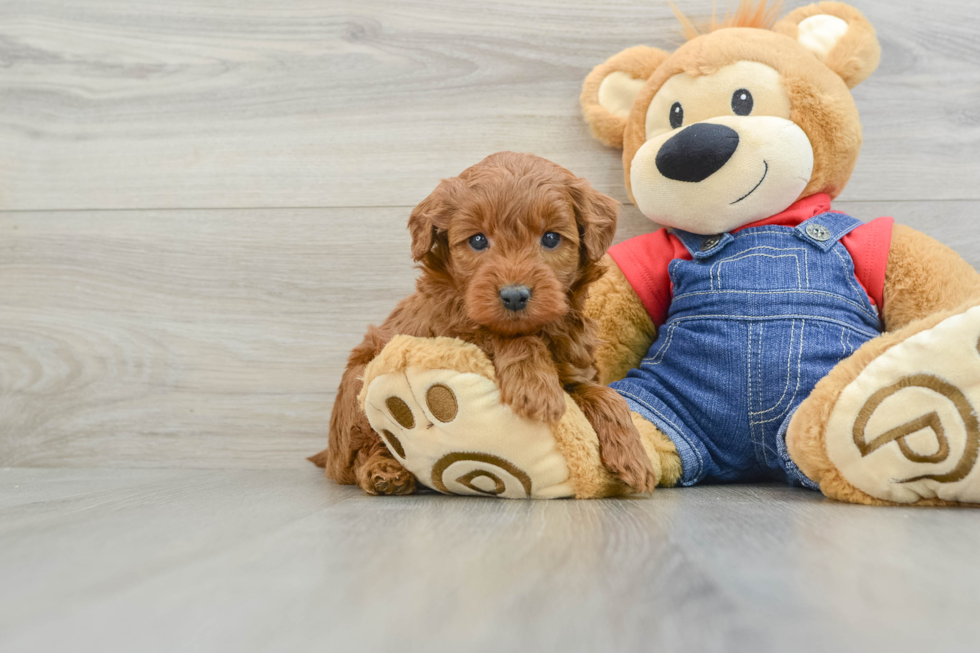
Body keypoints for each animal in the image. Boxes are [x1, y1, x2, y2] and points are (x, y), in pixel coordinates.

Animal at [310, 150, 656, 492]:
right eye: (477, 240)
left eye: (551, 238)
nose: (514, 296)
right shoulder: (448, 328)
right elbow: (499, 335)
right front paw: (536, 389)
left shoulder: (576, 369)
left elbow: (603, 394)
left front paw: (634, 455)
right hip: (356, 389)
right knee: (356, 456)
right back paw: (385, 472)